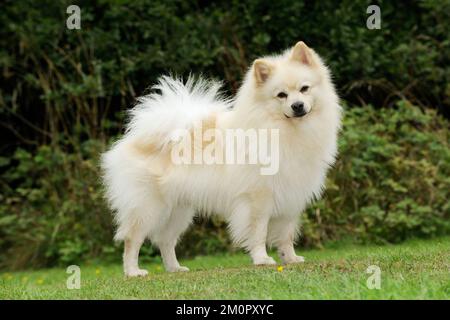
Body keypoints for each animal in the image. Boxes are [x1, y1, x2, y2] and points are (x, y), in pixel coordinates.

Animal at [102, 42, 342, 278]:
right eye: (281, 95)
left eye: (304, 89)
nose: (297, 105)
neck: (285, 131)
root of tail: (135, 138)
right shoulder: (258, 200)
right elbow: (259, 232)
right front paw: (262, 259)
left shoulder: (290, 198)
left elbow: (286, 235)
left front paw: (290, 259)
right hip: (148, 208)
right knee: (132, 239)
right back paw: (133, 271)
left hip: (178, 211)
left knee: (166, 241)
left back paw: (174, 268)